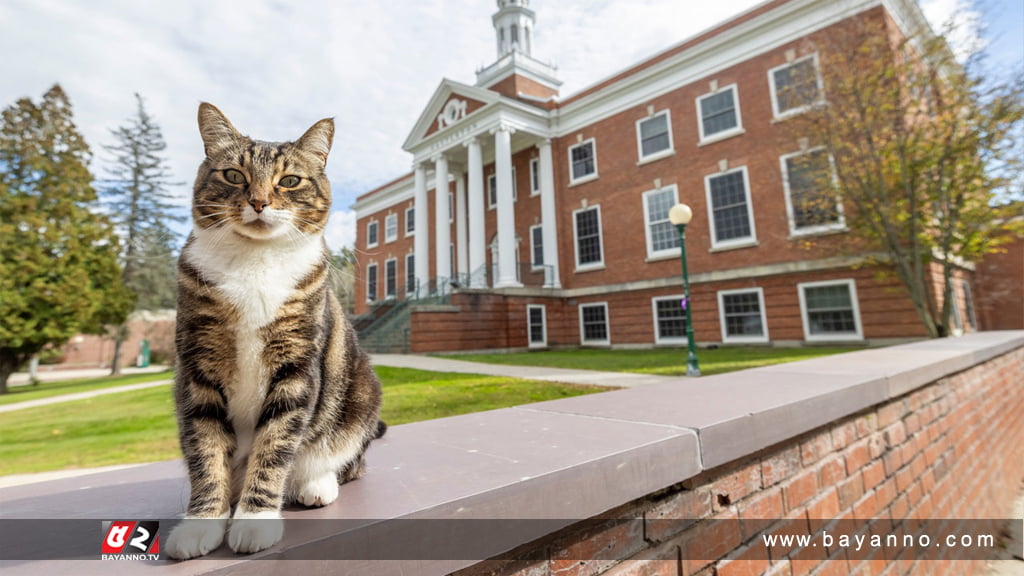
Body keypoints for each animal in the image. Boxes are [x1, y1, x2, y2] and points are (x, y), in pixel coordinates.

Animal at [165, 101, 385, 557]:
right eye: (234, 175)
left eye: (290, 180)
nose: (260, 202)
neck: (255, 261)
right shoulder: (198, 369)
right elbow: (206, 449)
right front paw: (201, 524)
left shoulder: (296, 367)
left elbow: (275, 445)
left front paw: (255, 520)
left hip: (361, 393)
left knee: (346, 459)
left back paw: (316, 483)